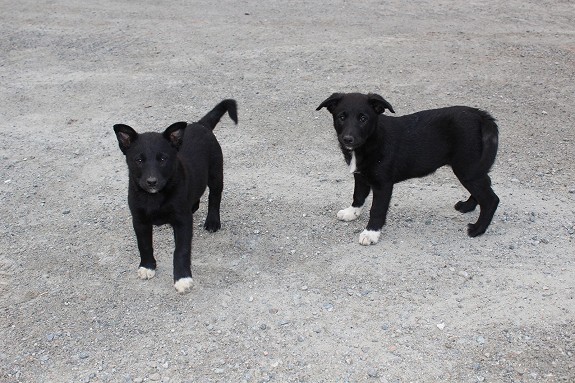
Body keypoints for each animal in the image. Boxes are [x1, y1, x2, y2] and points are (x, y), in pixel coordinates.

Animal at [113, 100, 237, 294]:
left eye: (163, 159)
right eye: (138, 160)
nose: (152, 182)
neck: (155, 198)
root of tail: (200, 124)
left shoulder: (182, 221)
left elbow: (181, 250)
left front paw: (182, 278)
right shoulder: (139, 220)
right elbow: (144, 244)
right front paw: (147, 266)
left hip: (216, 173)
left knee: (215, 197)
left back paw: (212, 221)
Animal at [318, 92, 502, 246]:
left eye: (363, 118)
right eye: (341, 117)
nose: (348, 139)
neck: (371, 140)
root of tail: (481, 115)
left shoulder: (383, 185)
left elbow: (376, 210)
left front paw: (371, 233)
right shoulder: (361, 176)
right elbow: (358, 195)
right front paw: (352, 212)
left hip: (467, 167)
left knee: (491, 199)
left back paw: (477, 229)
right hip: (472, 167)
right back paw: (467, 206)